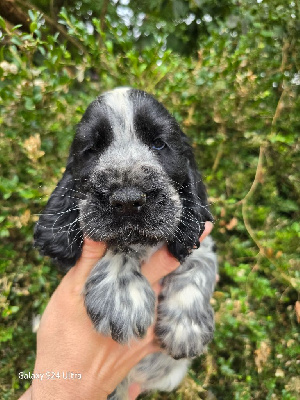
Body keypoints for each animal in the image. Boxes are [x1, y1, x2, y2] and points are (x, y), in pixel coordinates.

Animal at [34, 88, 218, 400]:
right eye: (91, 150)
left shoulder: (201, 238)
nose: (128, 200)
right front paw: (121, 301)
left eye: (159, 144)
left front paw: (186, 329)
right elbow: (117, 244)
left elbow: (198, 265)